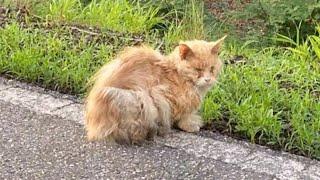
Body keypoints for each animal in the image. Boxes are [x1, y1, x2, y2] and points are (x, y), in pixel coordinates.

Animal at [84, 35, 226, 144]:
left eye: (212, 69)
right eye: (198, 70)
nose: (208, 79)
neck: (175, 73)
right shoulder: (160, 95)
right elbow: (181, 115)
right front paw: (189, 125)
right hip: (137, 98)